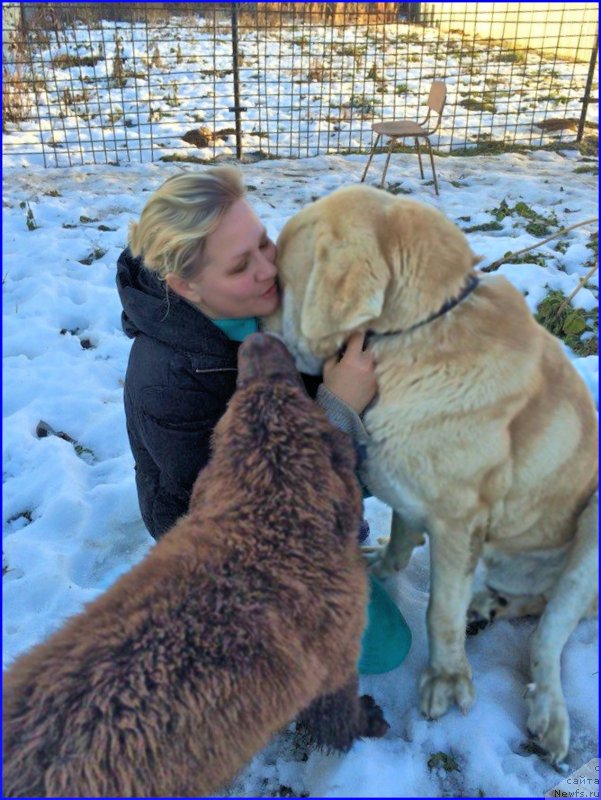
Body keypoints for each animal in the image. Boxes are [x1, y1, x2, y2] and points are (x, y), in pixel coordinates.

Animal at [2, 332, 386, 800]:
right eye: (291, 390)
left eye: (239, 398)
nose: (259, 339)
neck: (262, 534)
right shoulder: (337, 662)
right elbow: (339, 722)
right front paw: (371, 721)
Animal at [264, 184, 596, 764]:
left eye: (281, 280)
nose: (253, 332)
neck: (409, 337)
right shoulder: (408, 488)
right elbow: (401, 533)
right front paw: (380, 564)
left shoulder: (458, 519)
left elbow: (440, 611)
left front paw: (446, 679)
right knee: (537, 603)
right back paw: (489, 605)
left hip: (593, 529)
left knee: (551, 630)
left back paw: (549, 713)